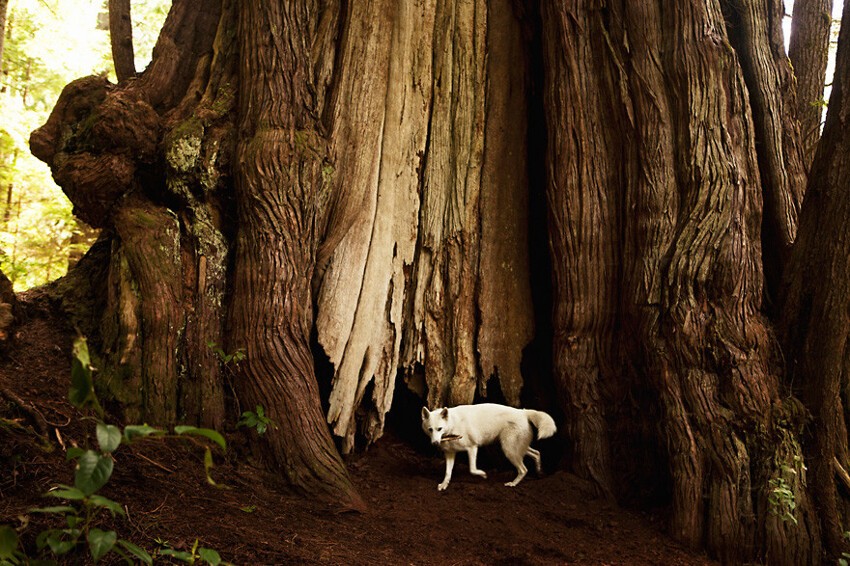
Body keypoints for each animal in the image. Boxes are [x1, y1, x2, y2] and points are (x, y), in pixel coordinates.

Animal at [420, 404, 556, 492]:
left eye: (439, 429)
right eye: (430, 430)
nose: (435, 443)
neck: (453, 425)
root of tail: (522, 412)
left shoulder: (472, 448)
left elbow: (472, 469)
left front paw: (483, 475)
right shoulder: (450, 454)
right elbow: (448, 472)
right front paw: (444, 485)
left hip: (509, 450)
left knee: (524, 469)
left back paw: (513, 484)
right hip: (516, 448)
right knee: (536, 453)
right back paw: (539, 472)